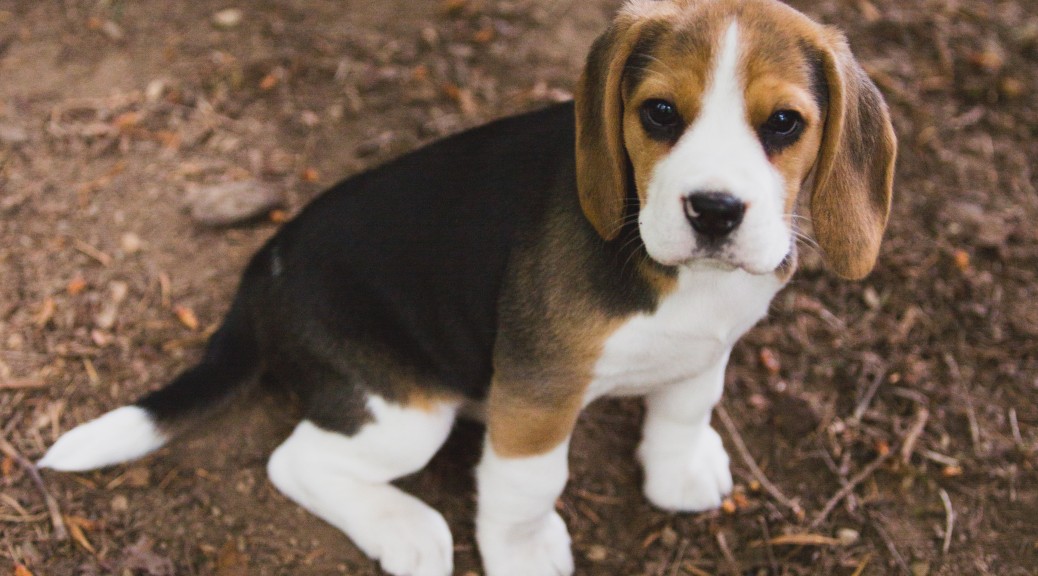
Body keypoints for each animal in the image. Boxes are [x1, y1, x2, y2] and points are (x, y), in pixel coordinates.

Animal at [40, 1, 896, 576]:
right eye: (659, 113)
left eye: (784, 124)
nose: (715, 211)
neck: (678, 273)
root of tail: (263, 270)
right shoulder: (538, 389)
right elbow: (531, 482)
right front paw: (524, 553)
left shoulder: (709, 346)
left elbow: (686, 407)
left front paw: (678, 470)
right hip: (405, 411)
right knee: (295, 462)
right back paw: (406, 529)